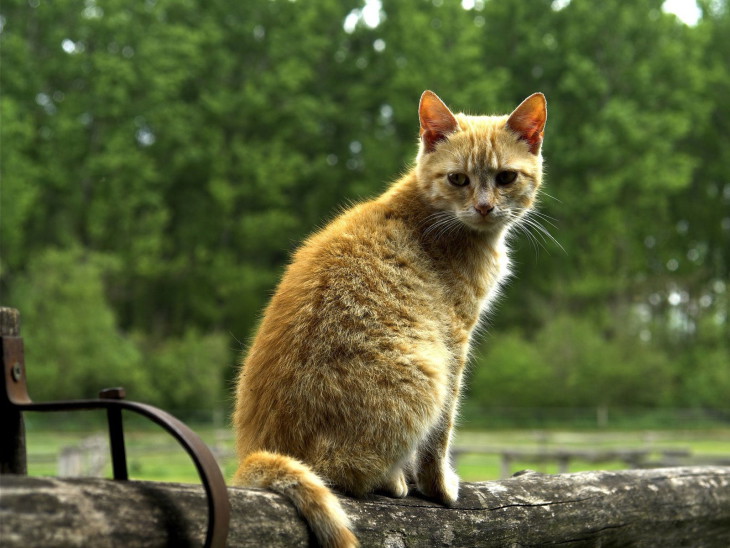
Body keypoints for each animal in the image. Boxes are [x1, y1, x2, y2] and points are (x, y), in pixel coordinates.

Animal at [230, 91, 544, 548]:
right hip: (428, 372)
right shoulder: (454, 342)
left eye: (505, 178)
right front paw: (439, 488)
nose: (484, 207)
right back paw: (392, 480)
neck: (429, 215)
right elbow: (441, 435)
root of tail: (255, 452)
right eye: (458, 179)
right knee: (349, 476)